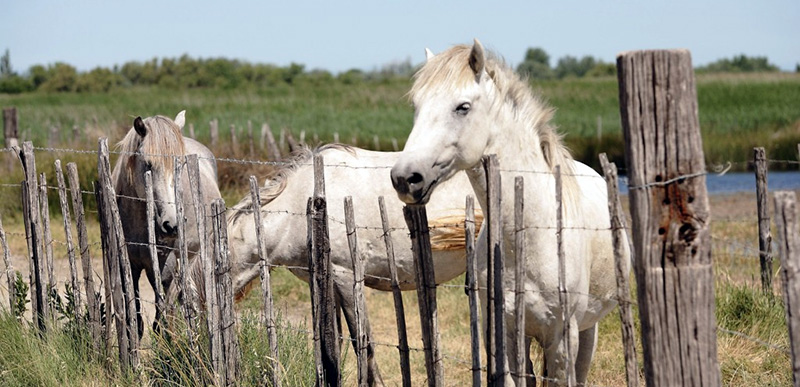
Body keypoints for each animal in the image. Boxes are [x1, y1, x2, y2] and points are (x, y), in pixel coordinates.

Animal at [111, 111, 222, 334]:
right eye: (148, 164)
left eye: (180, 165)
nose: (172, 225)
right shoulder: (129, 266)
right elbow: (136, 320)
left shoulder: (165, 269)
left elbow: (160, 321)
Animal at [390, 41, 628, 386]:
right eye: (417, 107)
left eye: (463, 107)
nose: (405, 178)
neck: (530, 235)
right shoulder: (505, 335)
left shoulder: (562, 338)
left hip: (587, 331)